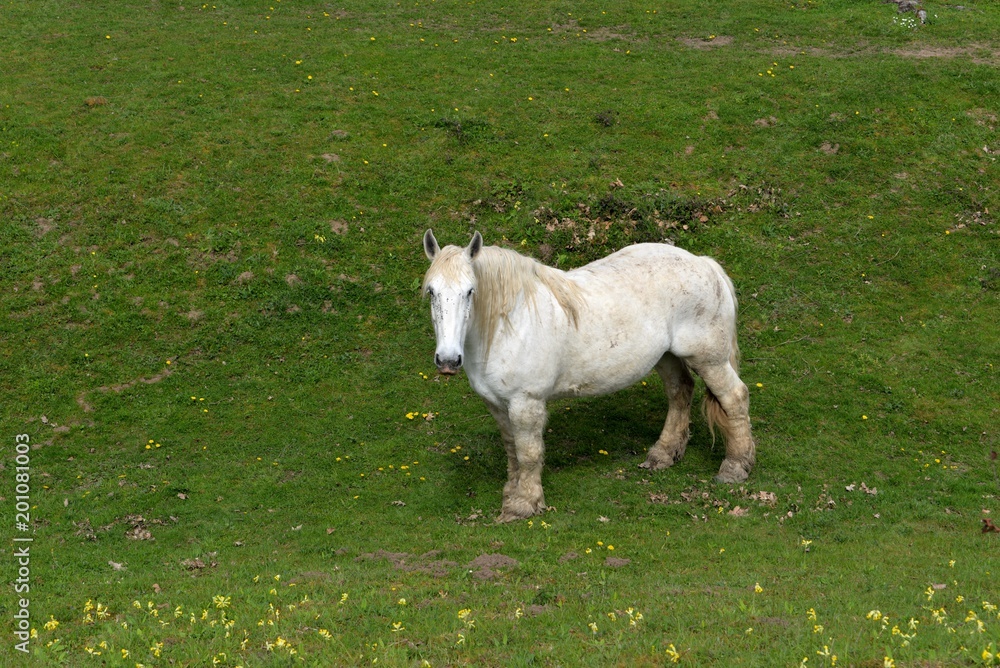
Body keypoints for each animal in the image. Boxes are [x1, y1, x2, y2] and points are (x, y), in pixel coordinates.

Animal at [421, 229, 755, 522]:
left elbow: (528, 453)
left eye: (469, 291)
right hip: (667, 357)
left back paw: (735, 467)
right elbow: (512, 451)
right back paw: (663, 455)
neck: (510, 323)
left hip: (709, 360)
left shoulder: (525, 403)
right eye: (431, 292)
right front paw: (512, 495)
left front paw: (523, 505)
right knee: (680, 392)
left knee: (734, 397)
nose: (448, 360)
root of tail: (704, 263)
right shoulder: (497, 405)